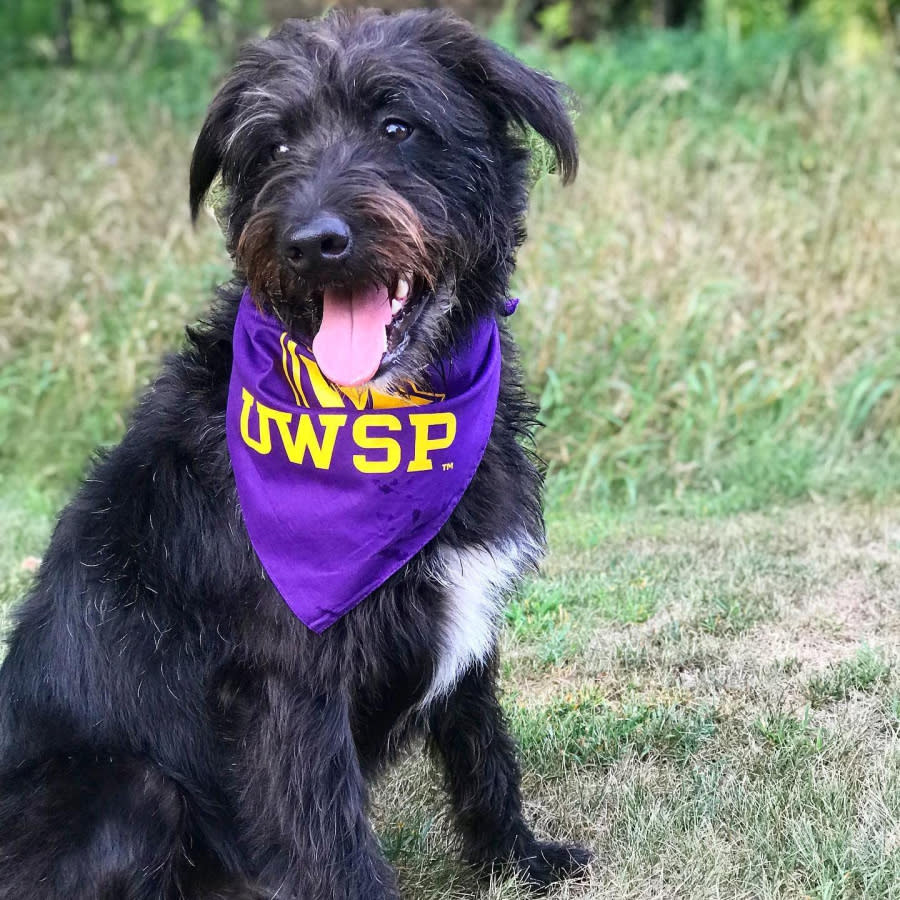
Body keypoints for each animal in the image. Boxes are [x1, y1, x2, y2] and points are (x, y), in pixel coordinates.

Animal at [0, 8, 592, 900]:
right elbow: (330, 831)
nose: (313, 242)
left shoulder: (469, 626)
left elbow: (484, 751)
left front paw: (518, 860)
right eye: (272, 146)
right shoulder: (289, 682)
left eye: (396, 125)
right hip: (134, 789)